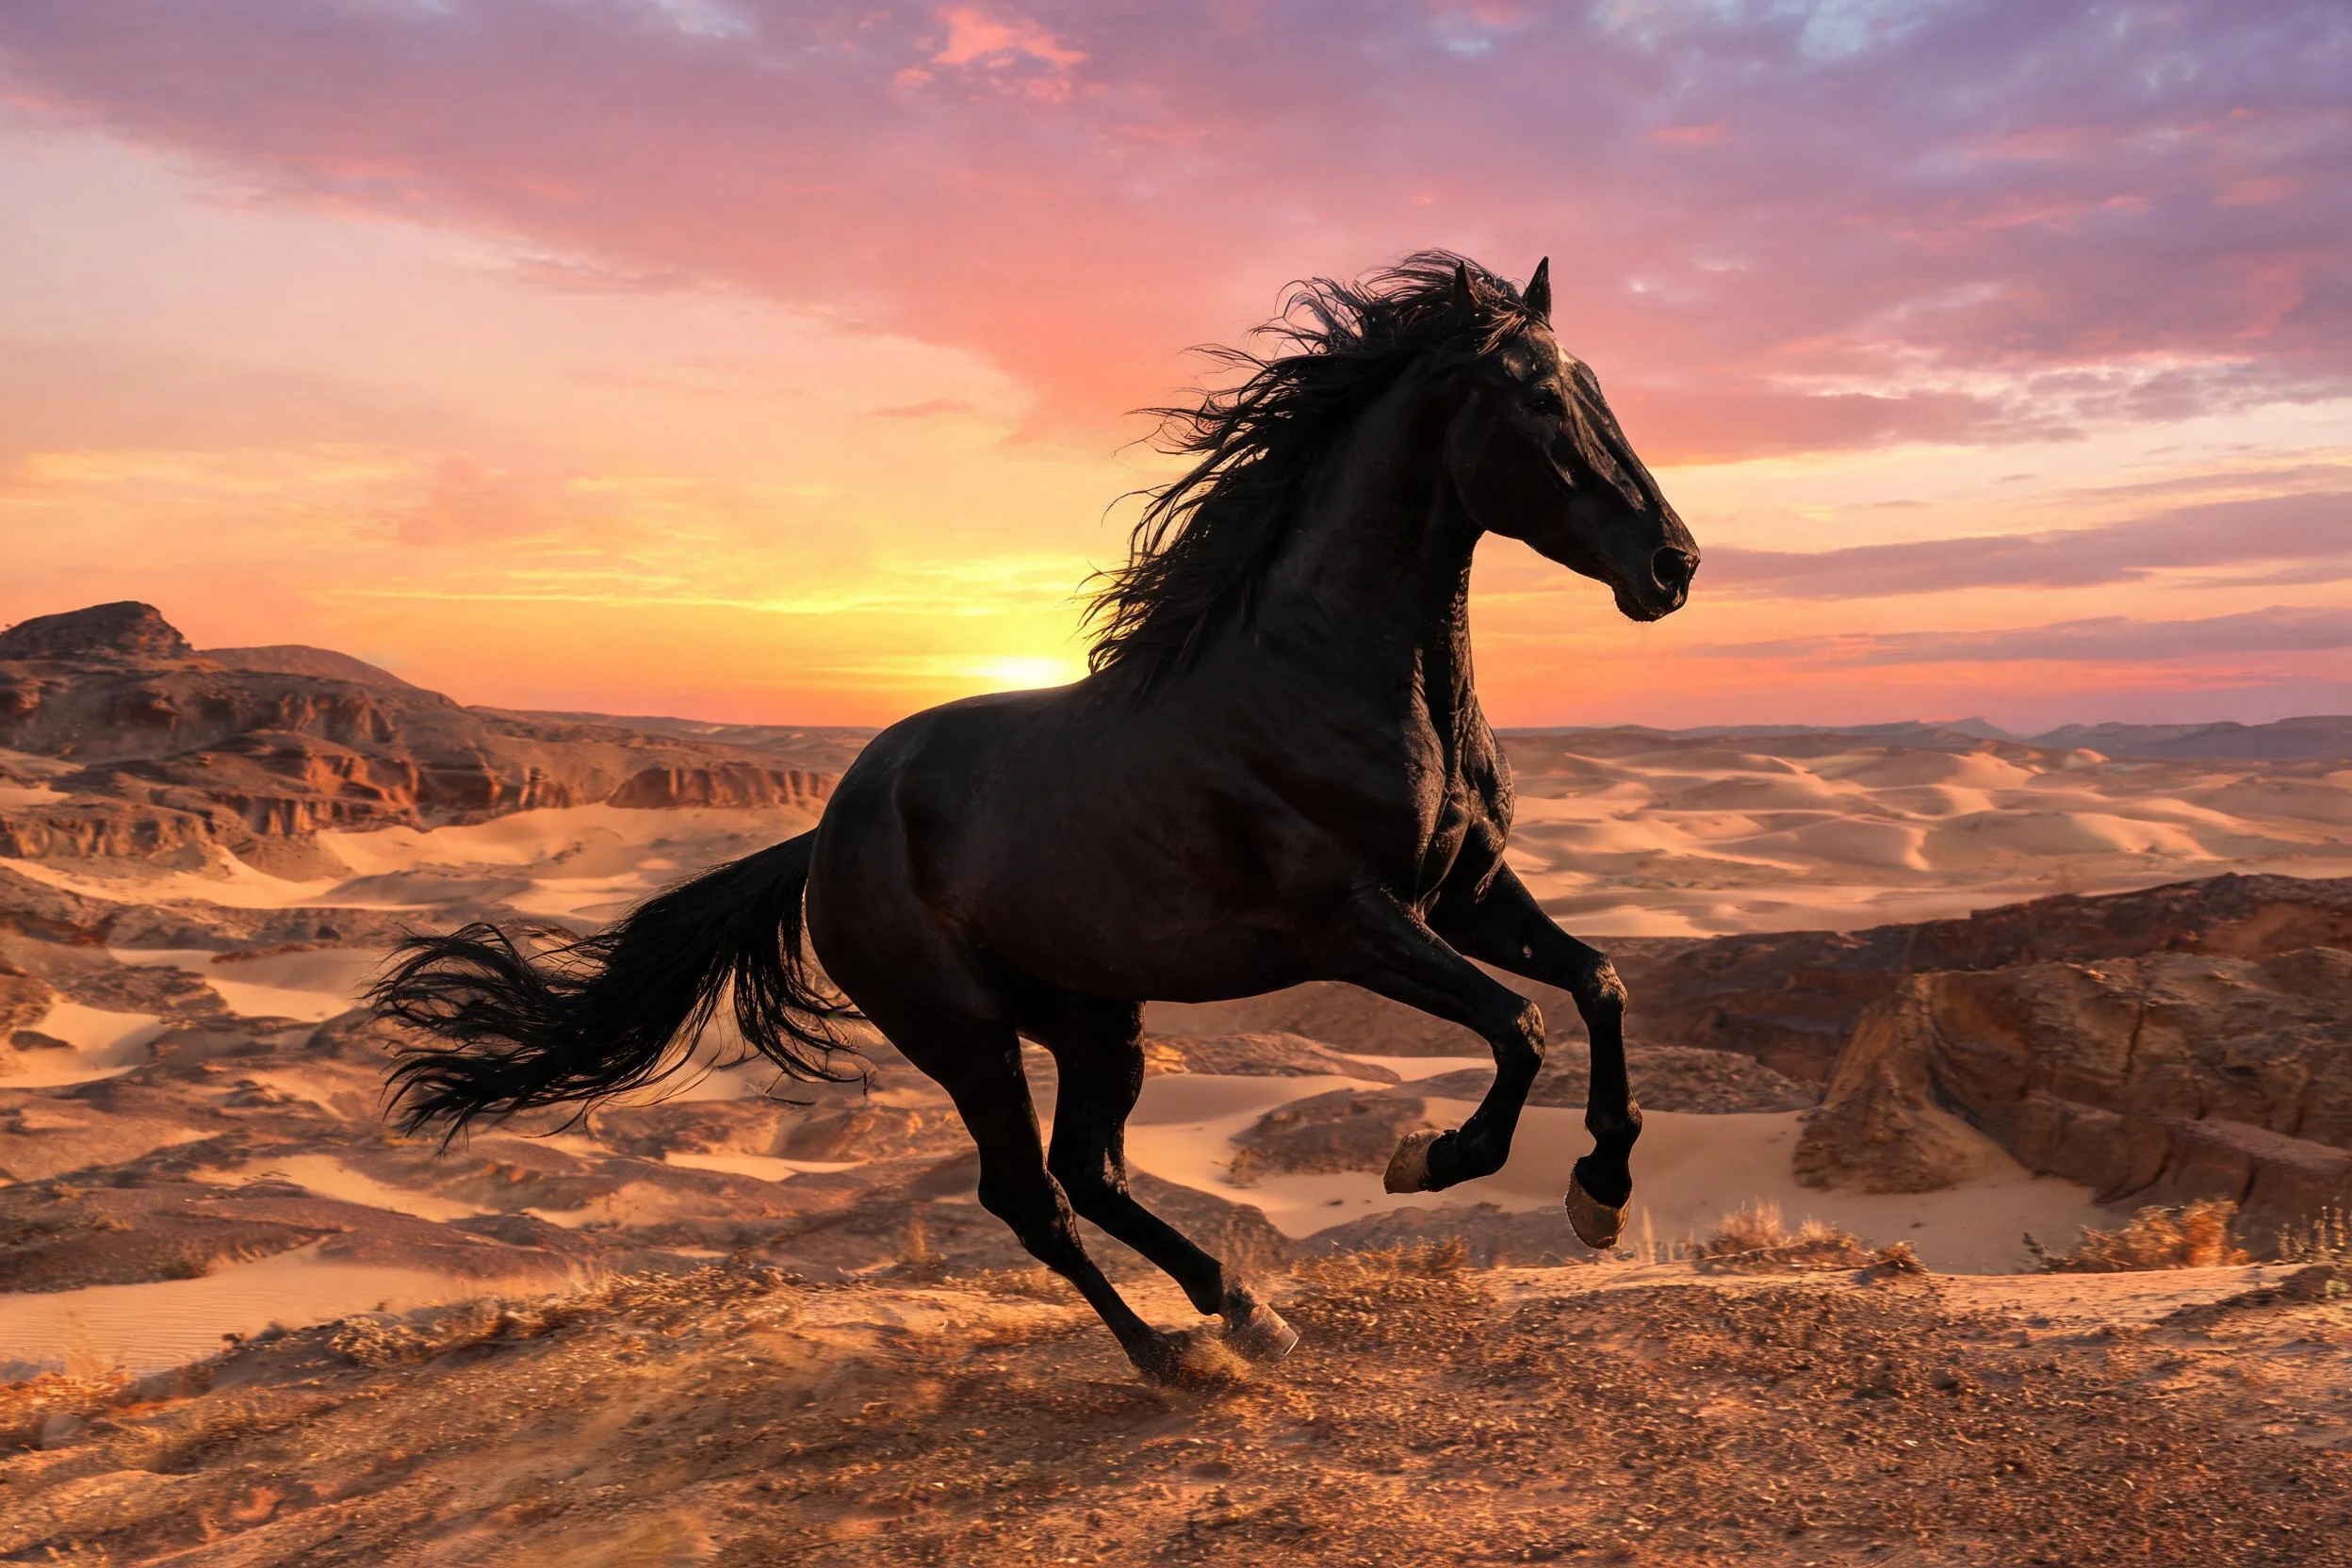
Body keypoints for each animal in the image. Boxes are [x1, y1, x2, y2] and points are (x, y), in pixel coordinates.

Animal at [371, 252, 1700, 1383]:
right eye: (1539, 395)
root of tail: (825, 836)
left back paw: (1245, 1312)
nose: (1674, 566)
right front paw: (1434, 1158)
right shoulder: (1355, 924)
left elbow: (1599, 982)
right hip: (965, 1036)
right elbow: (1520, 1023)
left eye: (1595, 385)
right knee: (1033, 1197)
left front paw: (1599, 1187)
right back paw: (1173, 1353)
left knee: (1090, 1171)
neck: (1329, 671)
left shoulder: (1467, 892)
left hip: (1096, 1016)